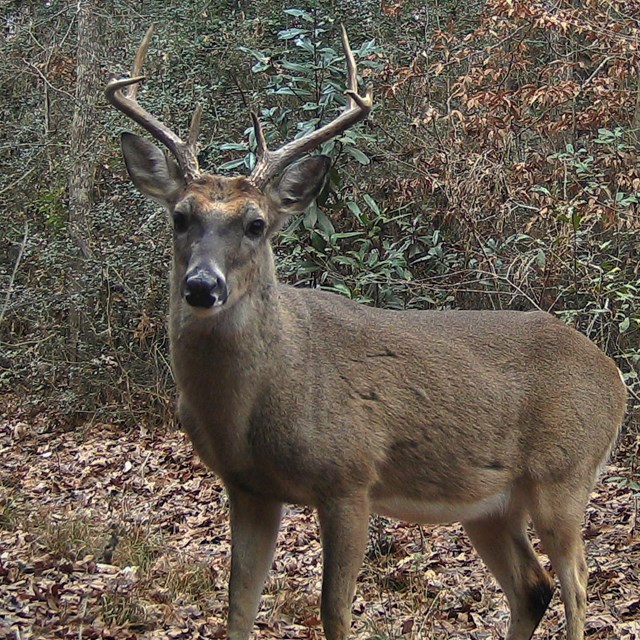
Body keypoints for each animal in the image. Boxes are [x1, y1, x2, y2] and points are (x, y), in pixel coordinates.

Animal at [105, 25, 624, 640]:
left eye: (256, 224)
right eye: (180, 216)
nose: (203, 286)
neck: (262, 396)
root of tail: (616, 378)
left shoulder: (350, 477)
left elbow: (334, 609)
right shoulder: (248, 487)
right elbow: (238, 604)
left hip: (564, 475)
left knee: (578, 586)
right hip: (489, 504)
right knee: (532, 587)